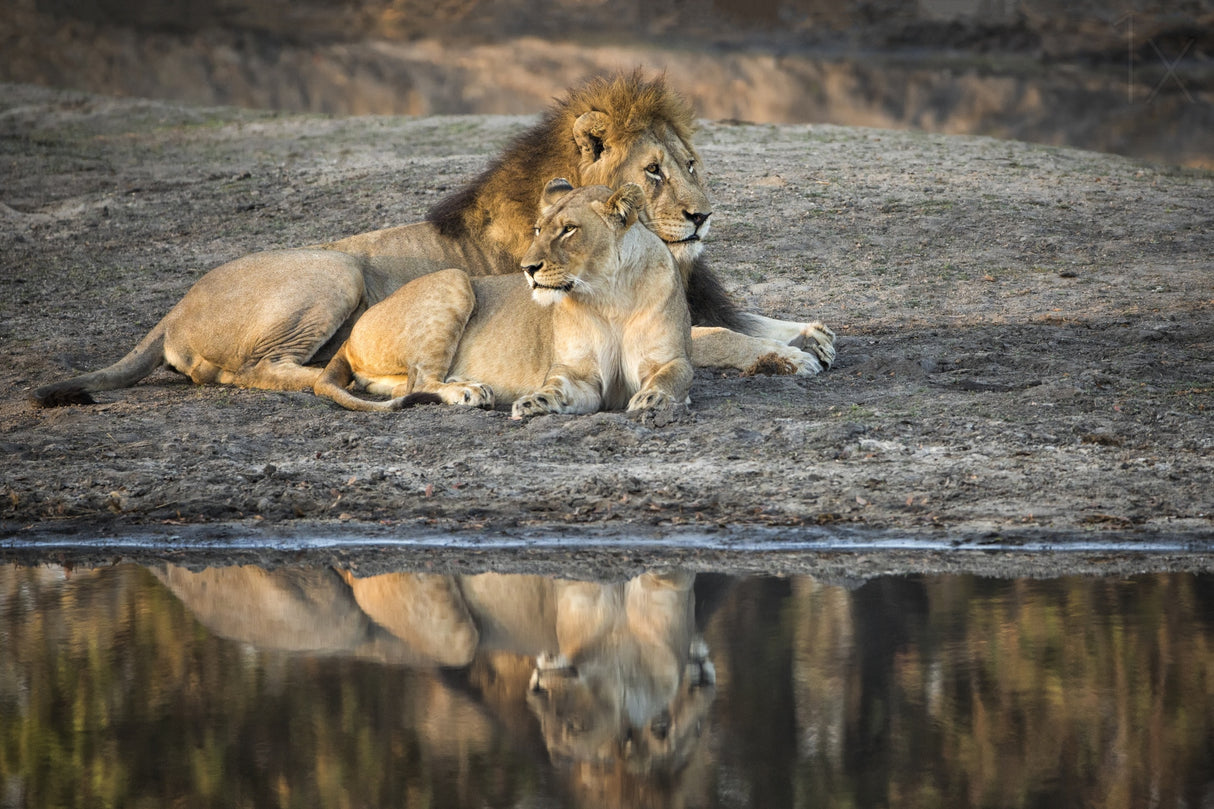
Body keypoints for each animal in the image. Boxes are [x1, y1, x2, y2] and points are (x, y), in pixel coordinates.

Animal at [313, 179, 692, 417]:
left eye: (569, 229)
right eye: (539, 229)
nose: (528, 267)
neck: (607, 295)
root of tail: (350, 336)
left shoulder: (670, 358)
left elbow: (673, 376)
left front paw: (654, 397)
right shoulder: (577, 373)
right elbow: (557, 385)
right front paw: (536, 400)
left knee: (406, 387)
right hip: (455, 278)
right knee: (422, 380)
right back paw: (469, 392)